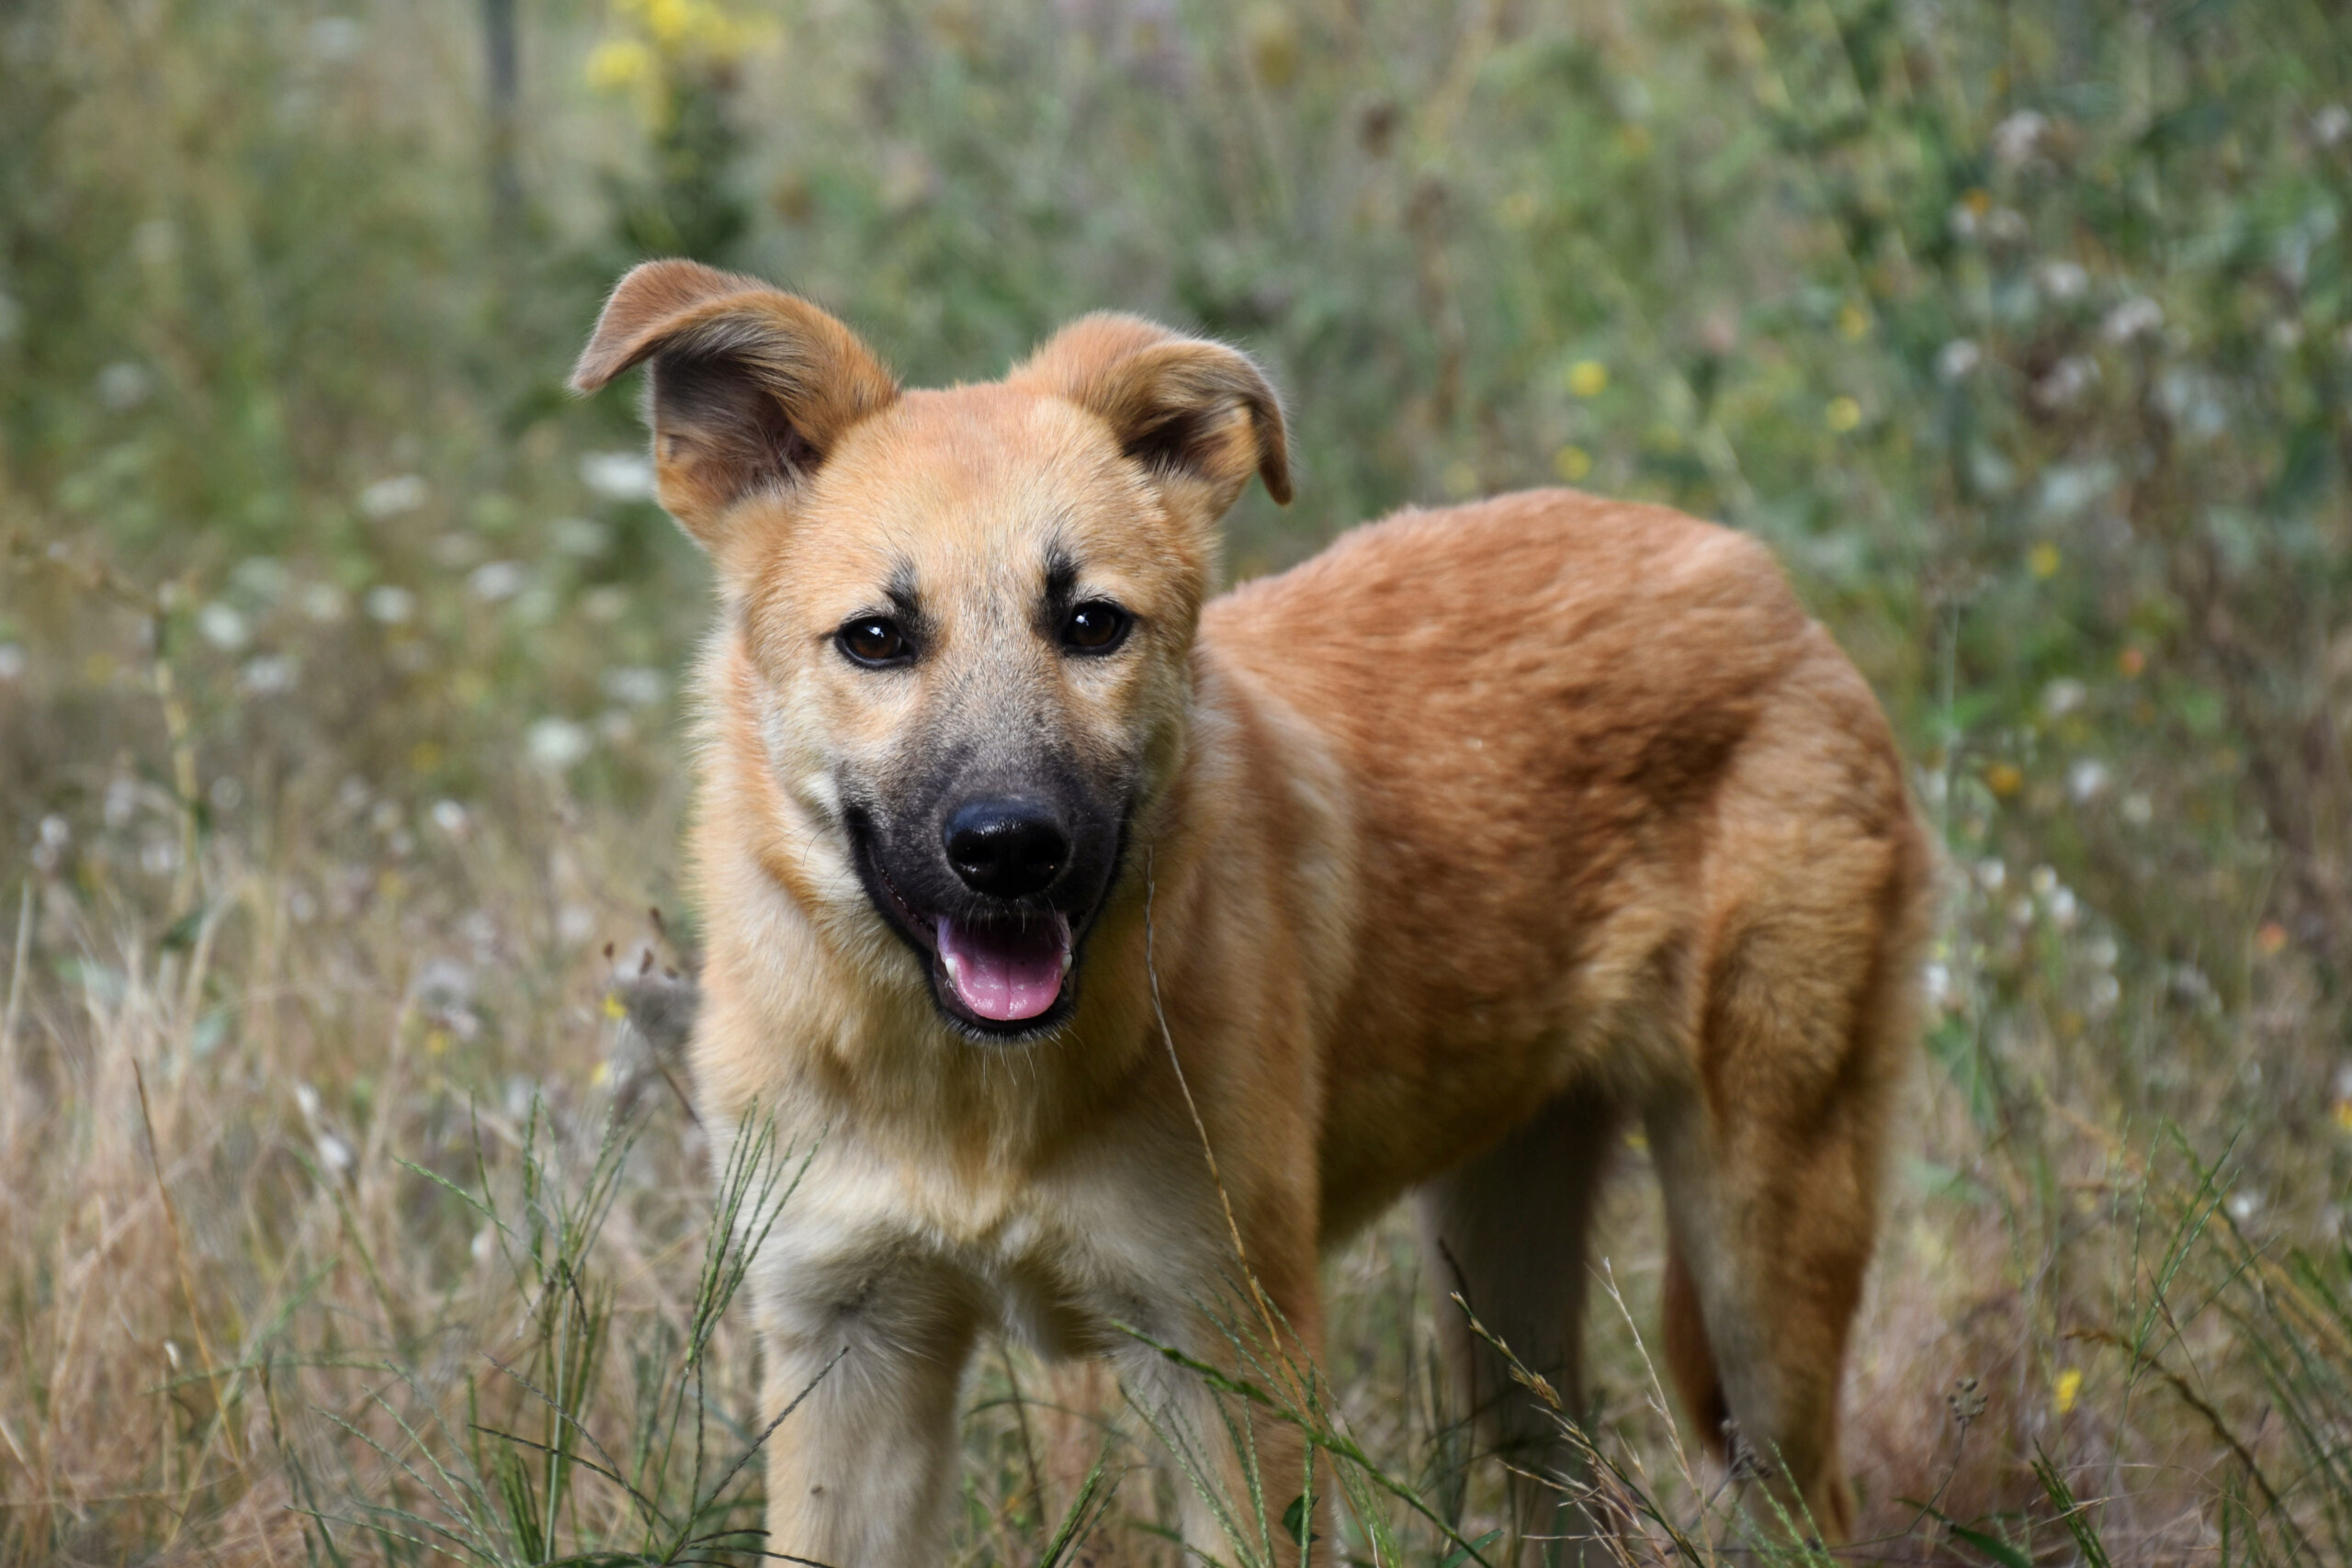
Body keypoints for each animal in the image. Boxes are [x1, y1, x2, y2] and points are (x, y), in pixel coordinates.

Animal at [569, 261, 1928, 1568]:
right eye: (876, 638)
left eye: (1090, 623)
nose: (1010, 849)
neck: (975, 1107)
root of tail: (1755, 574)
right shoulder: (847, 1345)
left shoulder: (1233, 1360)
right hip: (1502, 1288)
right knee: (1574, 1493)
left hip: (1765, 1251)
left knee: (1806, 1497)